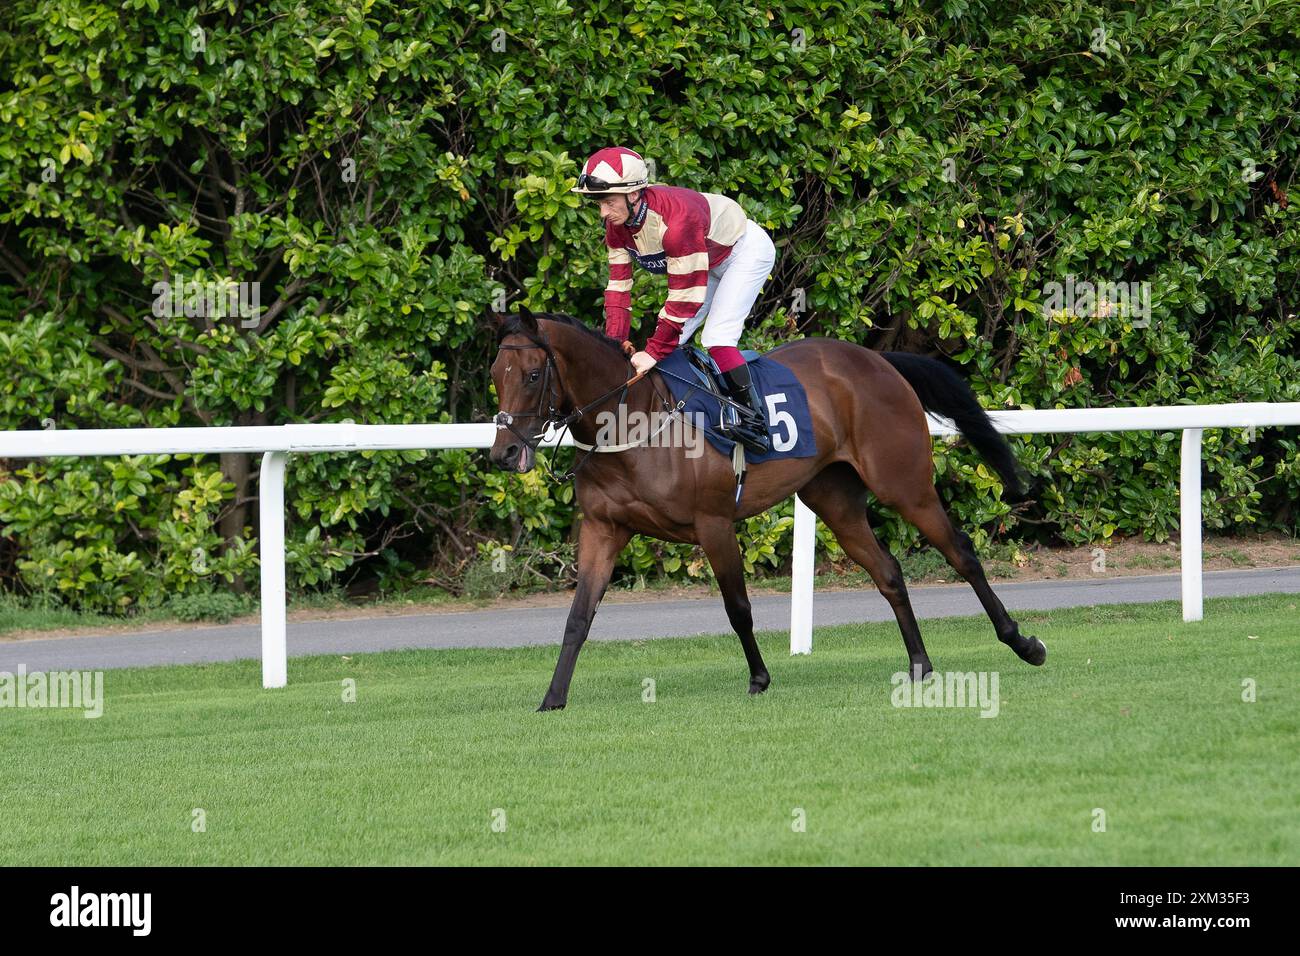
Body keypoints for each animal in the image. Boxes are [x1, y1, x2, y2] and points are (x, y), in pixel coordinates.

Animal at [488, 308, 1045, 712]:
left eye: (533, 374)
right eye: (496, 374)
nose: (505, 453)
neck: (632, 424)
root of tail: (879, 360)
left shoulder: (713, 524)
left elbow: (738, 608)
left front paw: (758, 678)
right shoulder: (604, 529)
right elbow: (578, 617)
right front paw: (553, 698)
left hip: (905, 486)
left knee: (962, 554)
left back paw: (1022, 642)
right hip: (834, 500)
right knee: (888, 572)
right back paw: (920, 665)